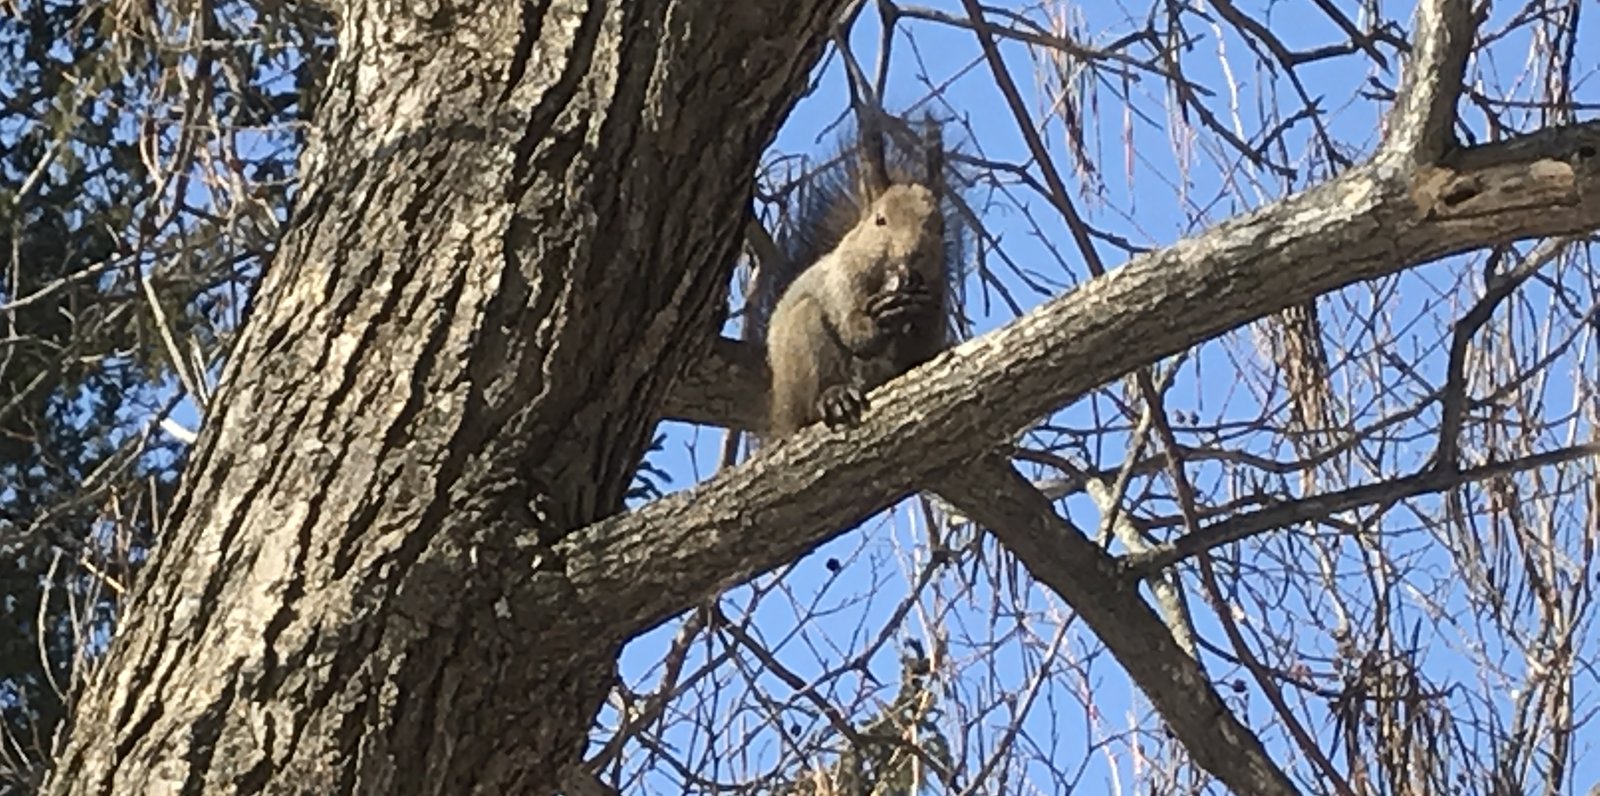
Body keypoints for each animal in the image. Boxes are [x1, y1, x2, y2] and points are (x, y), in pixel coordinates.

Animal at [752, 115, 960, 437]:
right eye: (880, 220)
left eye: (941, 227)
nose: (912, 253)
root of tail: (781, 417)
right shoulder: (840, 284)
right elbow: (852, 330)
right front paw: (879, 317)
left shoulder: (939, 293)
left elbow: (924, 345)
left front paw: (920, 311)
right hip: (801, 343)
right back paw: (834, 396)